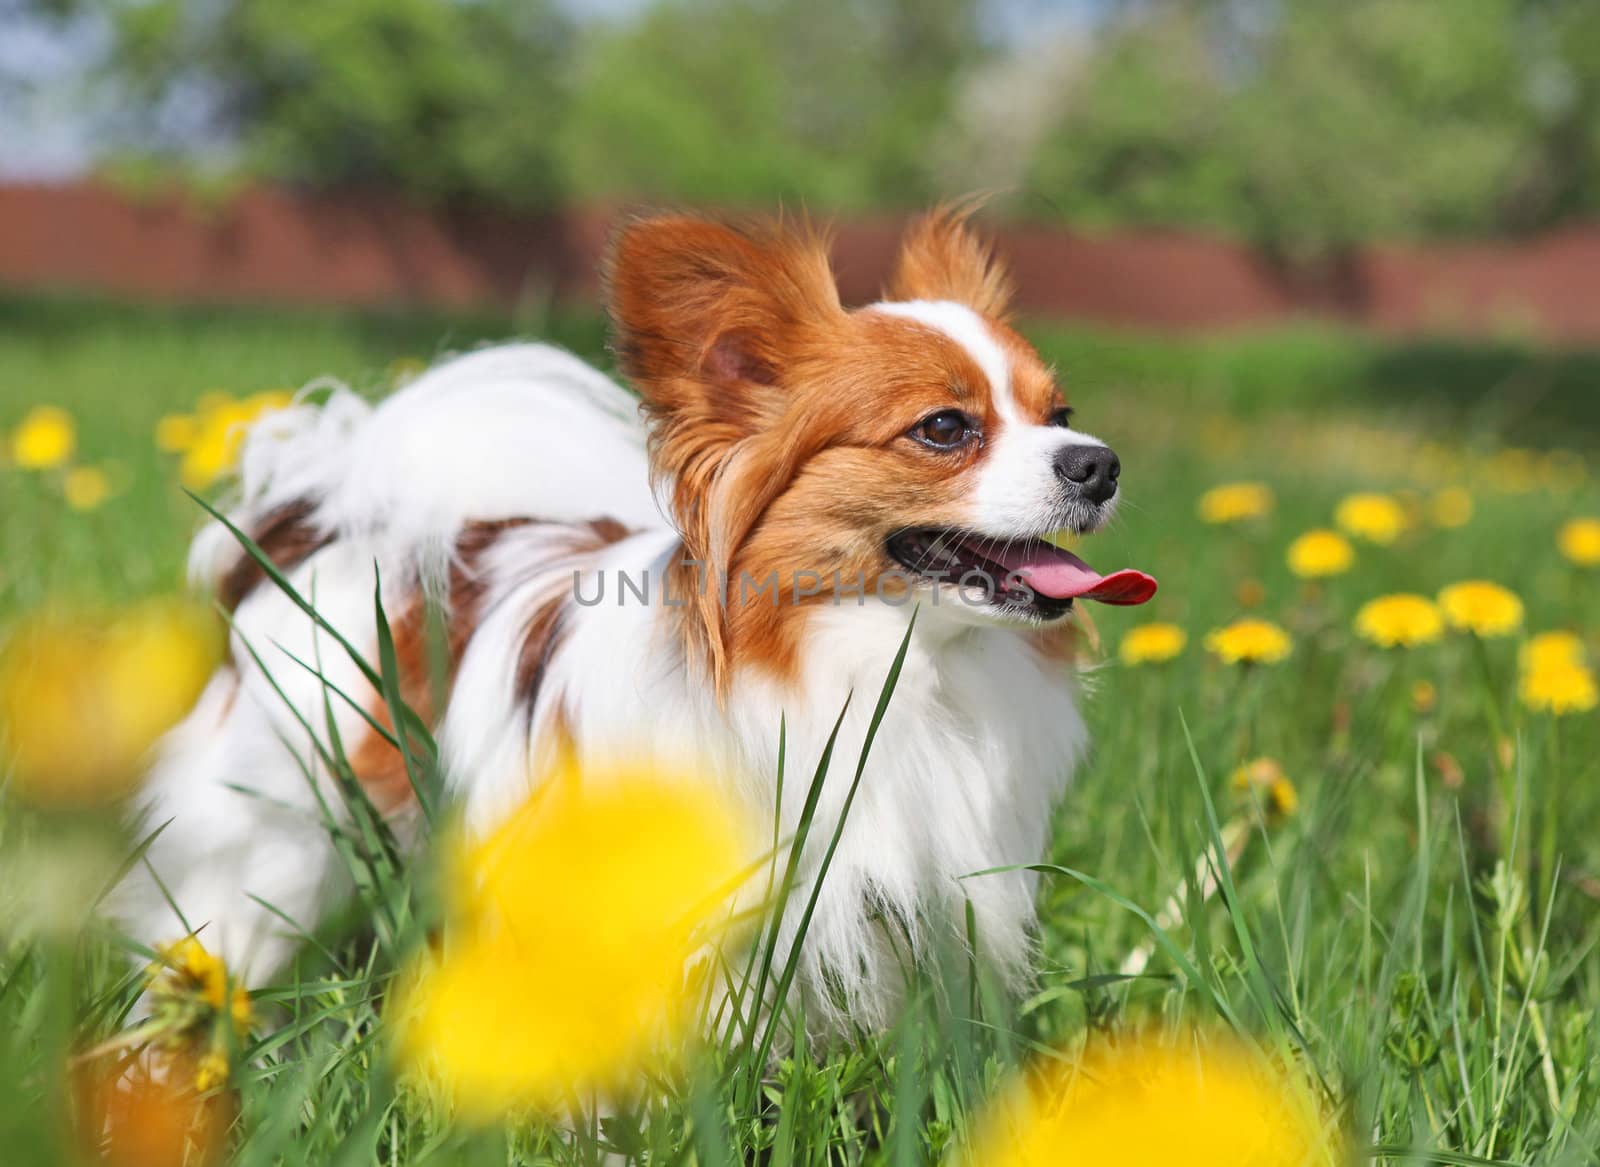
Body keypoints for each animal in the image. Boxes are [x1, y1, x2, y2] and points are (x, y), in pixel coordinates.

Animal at [118, 206, 1158, 1030]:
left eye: (1062, 413)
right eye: (945, 428)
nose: (1101, 463)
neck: (894, 665)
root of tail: (321, 517)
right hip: (274, 833)